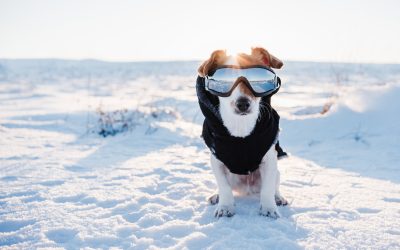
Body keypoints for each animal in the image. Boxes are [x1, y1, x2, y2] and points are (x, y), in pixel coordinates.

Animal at [195, 47, 286, 219]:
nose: (243, 104)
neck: (240, 130)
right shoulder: (217, 161)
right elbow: (224, 187)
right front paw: (225, 207)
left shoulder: (270, 161)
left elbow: (268, 189)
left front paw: (269, 208)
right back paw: (216, 196)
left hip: (276, 172)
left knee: (274, 186)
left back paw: (278, 198)